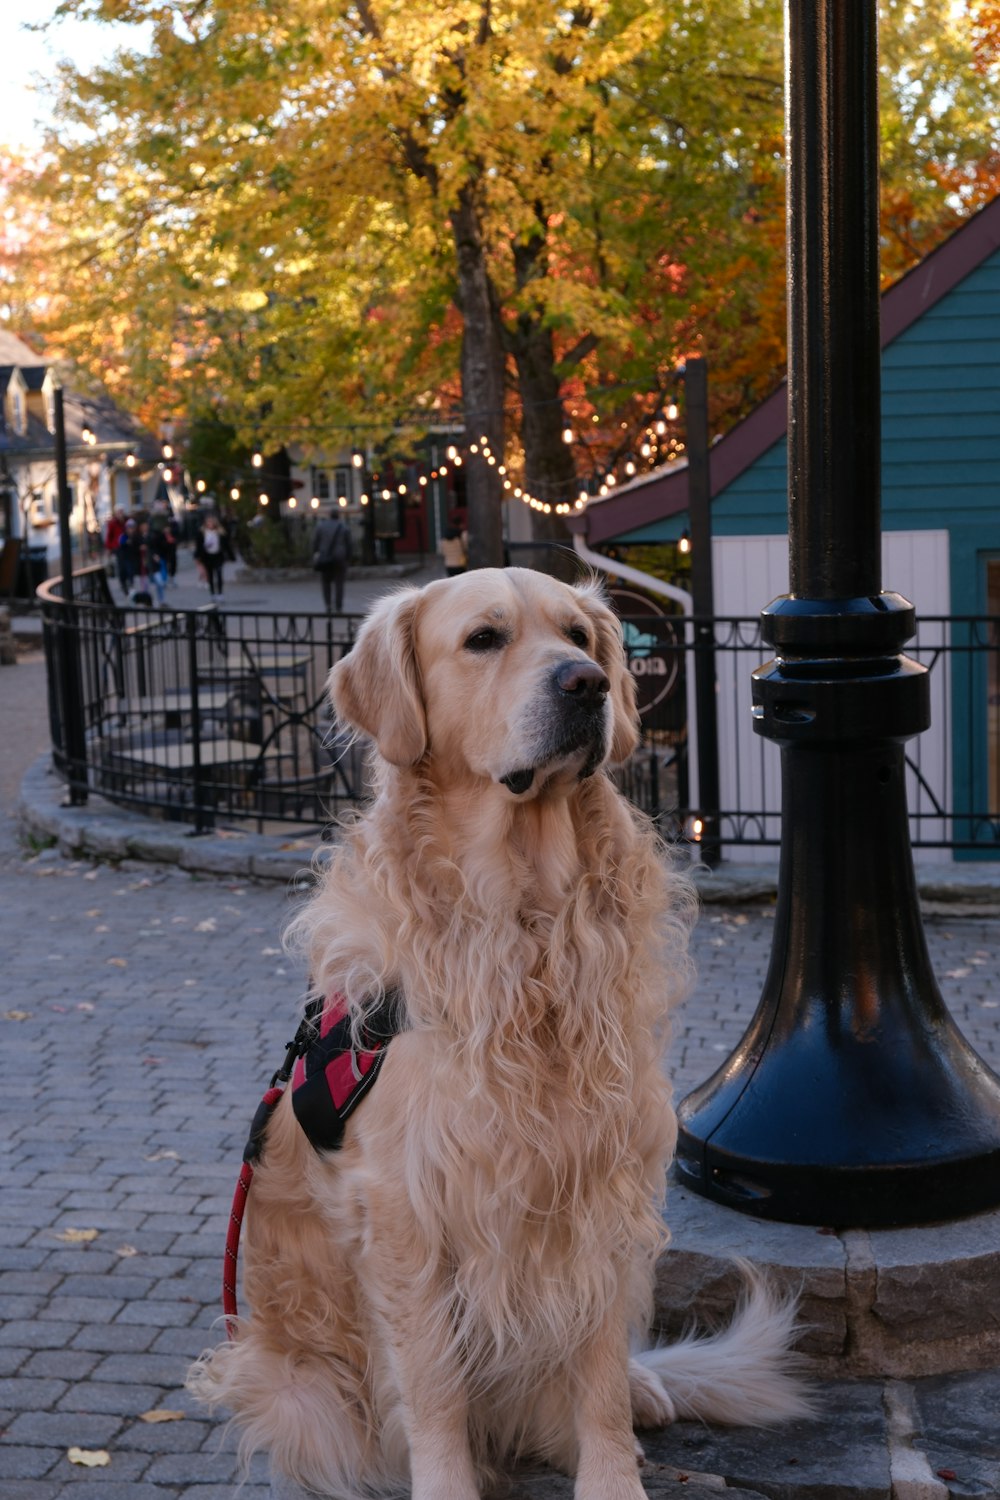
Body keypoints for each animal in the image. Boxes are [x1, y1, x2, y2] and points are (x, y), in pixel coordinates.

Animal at [191, 567, 809, 1494]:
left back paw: (647, 1388)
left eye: (581, 638)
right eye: (484, 639)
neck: (525, 917)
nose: (586, 686)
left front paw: (613, 1476)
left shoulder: (601, 1179)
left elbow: (597, 1375)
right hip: (294, 1392)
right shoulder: (408, 1204)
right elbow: (435, 1383)